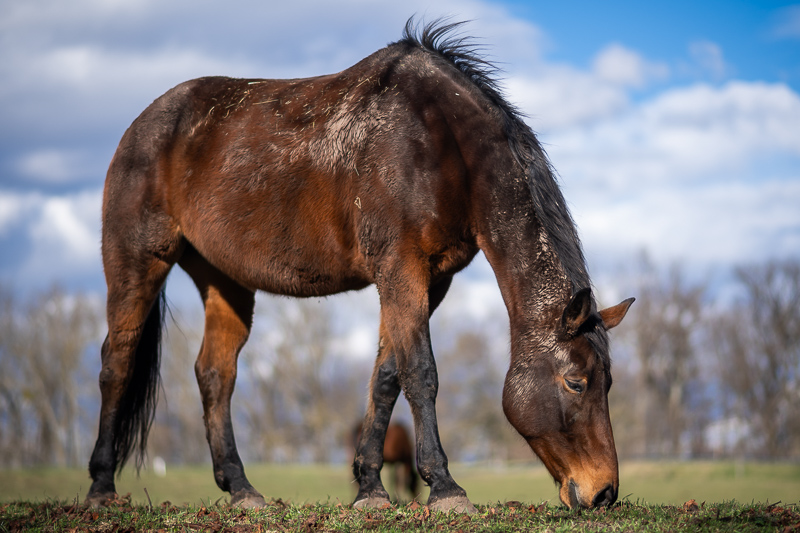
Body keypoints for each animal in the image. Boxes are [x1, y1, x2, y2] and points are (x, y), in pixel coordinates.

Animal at [86, 19, 632, 512]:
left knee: (215, 374)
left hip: (225, 281)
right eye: (576, 381)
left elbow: (386, 376)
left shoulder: (430, 279)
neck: (438, 143)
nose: (603, 492)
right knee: (118, 363)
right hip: (137, 262)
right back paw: (101, 488)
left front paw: (370, 487)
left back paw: (242, 490)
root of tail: (144, 123)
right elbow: (420, 371)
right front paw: (446, 489)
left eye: (608, 381)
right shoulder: (400, 268)